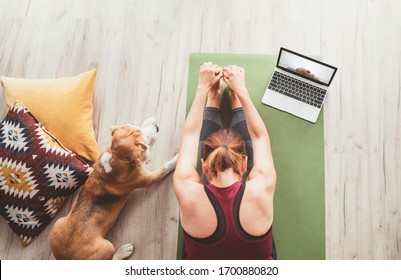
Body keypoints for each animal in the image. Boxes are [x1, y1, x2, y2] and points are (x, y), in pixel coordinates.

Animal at [49, 117, 177, 260]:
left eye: (135, 127)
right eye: (143, 143)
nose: (156, 126)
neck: (116, 157)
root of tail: (64, 256)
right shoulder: (149, 179)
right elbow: (165, 166)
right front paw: (177, 159)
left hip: (57, 223)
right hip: (107, 247)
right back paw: (124, 251)